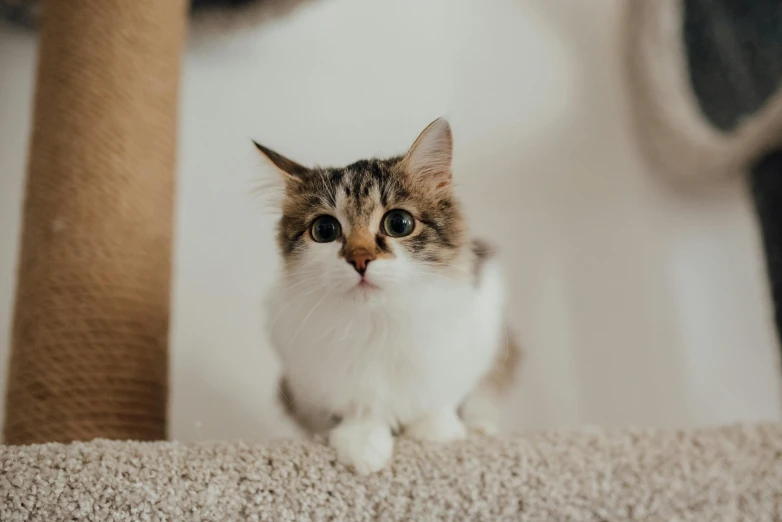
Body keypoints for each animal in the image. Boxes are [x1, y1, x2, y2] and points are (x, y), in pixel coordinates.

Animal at [260, 118, 524, 472]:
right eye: (324, 230)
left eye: (398, 223)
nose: (360, 260)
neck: (381, 320)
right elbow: (359, 406)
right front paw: (363, 443)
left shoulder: (478, 324)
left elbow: (444, 393)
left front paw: (435, 431)